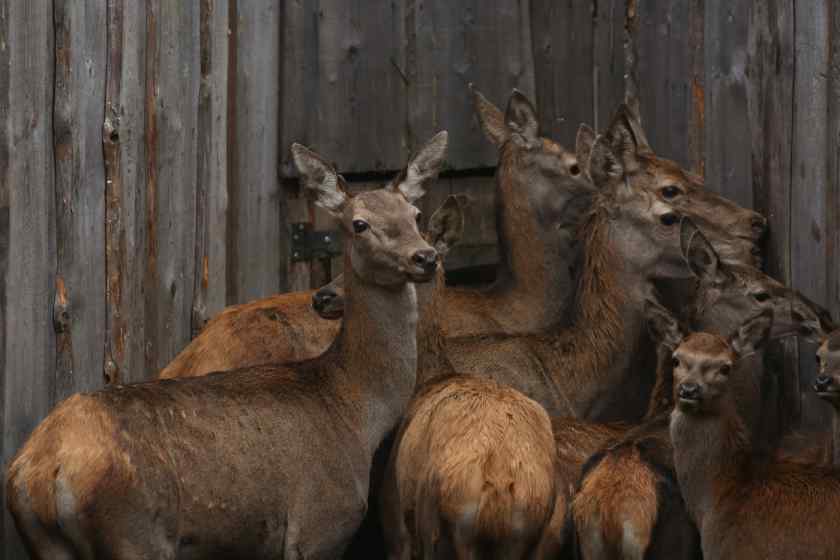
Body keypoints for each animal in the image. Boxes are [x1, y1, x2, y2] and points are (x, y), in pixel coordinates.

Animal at [6, 136, 450, 560]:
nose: (424, 256)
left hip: (46, 542)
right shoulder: (320, 525)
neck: (356, 411)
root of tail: (41, 472)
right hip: (134, 533)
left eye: (415, 215)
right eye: (359, 224)